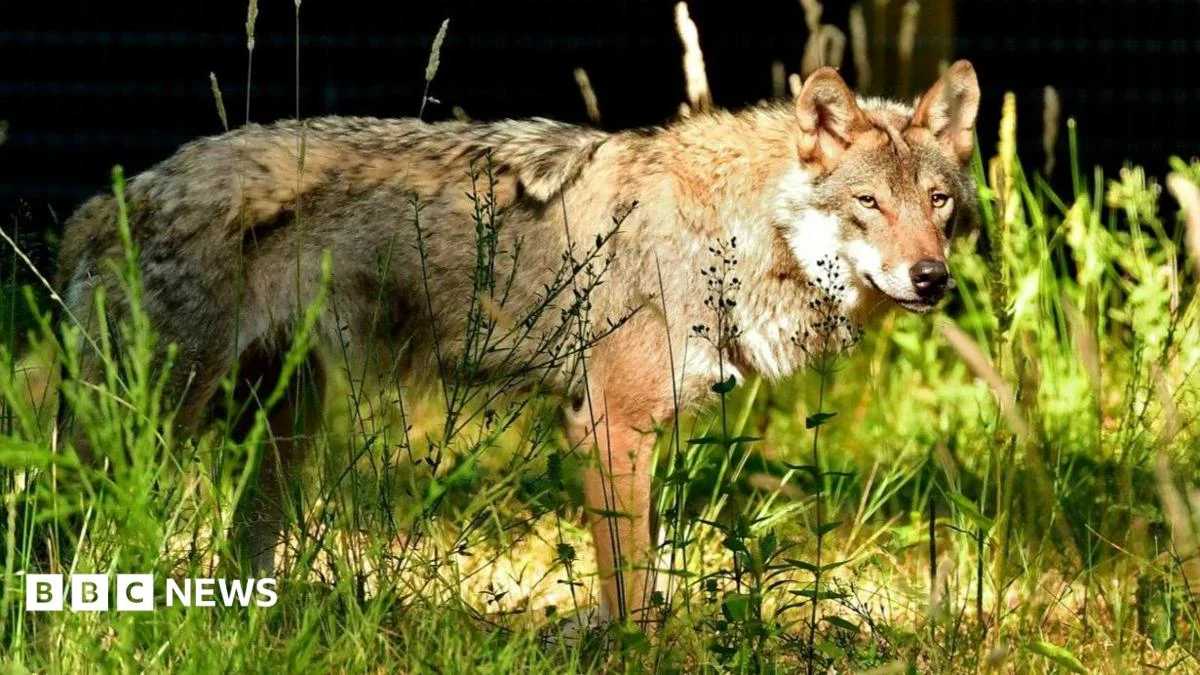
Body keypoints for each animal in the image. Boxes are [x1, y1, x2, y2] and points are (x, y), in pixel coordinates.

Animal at [56, 61, 980, 626]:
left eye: (936, 202)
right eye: (868, 203)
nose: (931, 278)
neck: (730, 229)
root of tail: (108, 201)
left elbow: (640, 584)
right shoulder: (608, 427)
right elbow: (633, 597)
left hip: (278, 438)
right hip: (145, 428)